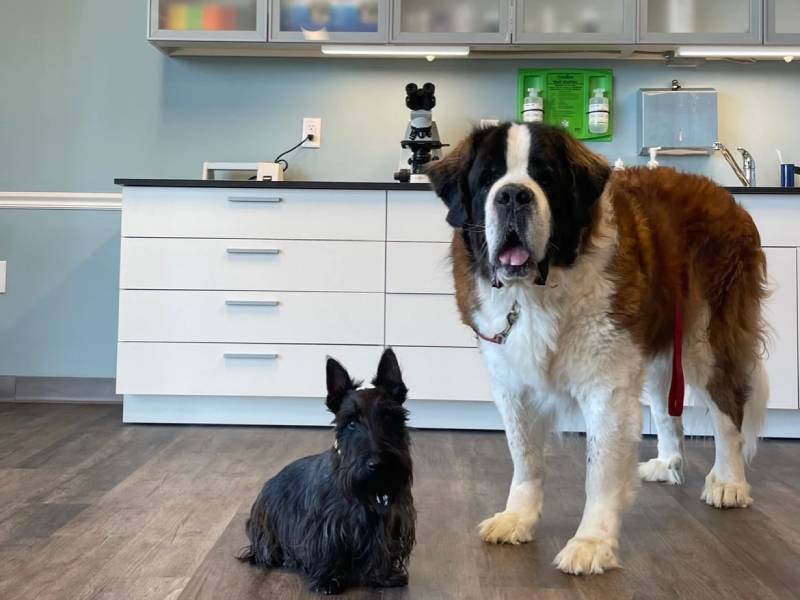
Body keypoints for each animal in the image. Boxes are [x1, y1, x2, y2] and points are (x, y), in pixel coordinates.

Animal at [238, 346, 416, 596]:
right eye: (351, 422)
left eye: (389, 416)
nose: (378, 463)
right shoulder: (325, 526)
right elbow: (327, 551)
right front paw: (327, 580)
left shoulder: (391, 522)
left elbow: (383, 549)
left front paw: (385, 575)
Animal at [424, 123, 768, 576]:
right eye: (488, 179)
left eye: (545, 177)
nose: (513, 195)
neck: (536, 292)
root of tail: (727, 197)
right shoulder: (511, 383)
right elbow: (524, 455)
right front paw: (518, 516)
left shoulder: (607, 385)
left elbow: (599, 470)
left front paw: (592, 543)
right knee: (667, 407)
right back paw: (668, 463)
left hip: (705, 337)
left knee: (728, 410)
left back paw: (729, 481)